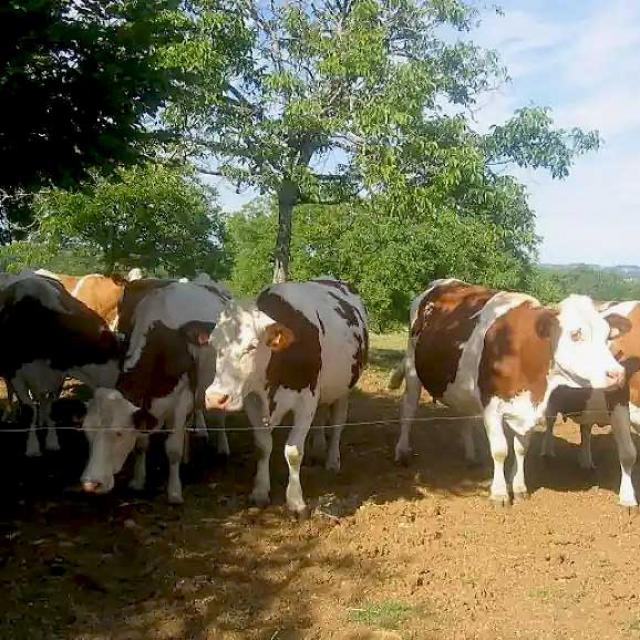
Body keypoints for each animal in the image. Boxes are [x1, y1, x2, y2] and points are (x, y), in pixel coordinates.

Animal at [0, 272, 121, 458]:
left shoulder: (57, 376)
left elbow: (50, 407)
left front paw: (52, 441)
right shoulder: (17, 373)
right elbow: (29, 409)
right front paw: (32, 446)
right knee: (13, 391)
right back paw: (11, 415)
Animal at [79, 278, 230, 502]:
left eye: (119, 433)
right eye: (86, 431)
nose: (91, 484)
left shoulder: (182, 399)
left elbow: (173, 449)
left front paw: (174, 492)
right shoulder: (144, 406)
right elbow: (141, 444)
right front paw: (138, 481)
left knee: (218, 416)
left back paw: (222, 447)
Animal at [202, 278, 368, 516]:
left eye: (252, 346)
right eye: (214, 345)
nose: (215, 397)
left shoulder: (306, 400)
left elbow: (293, 451)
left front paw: (296, 501)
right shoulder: (252, 400)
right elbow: (263, 445)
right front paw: (260, 491)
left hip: (344, 388)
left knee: (337, 424)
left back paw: (332, 460)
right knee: (321, 416)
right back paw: (318, 447)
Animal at [540, 300, 640, 476]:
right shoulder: (618, 400)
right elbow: (628, 455)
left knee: (585, 428)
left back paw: (586, 461)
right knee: (550, 421)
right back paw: (548, 452)